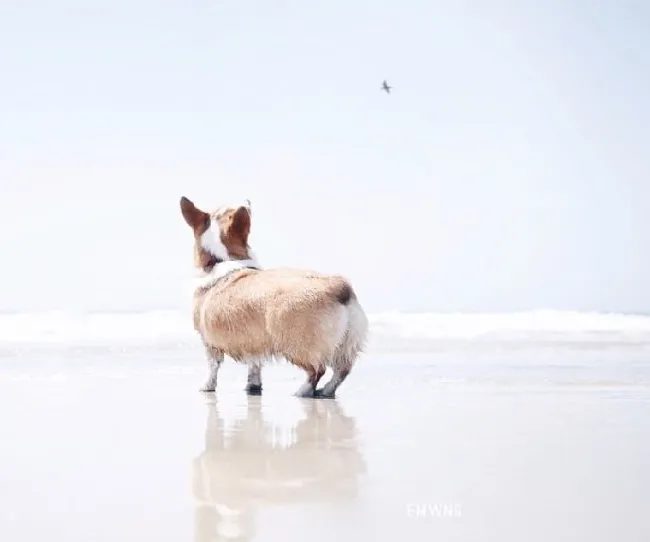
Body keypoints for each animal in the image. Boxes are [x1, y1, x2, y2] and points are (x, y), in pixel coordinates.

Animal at [180, 197, 368, 400]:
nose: (247, 200)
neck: (223, 259)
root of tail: (340, 287)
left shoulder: (208, 342)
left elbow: (212, 367)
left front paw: (207, 387)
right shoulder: (253, 343)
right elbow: (254, 367)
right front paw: (253, 387)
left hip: (297, 346)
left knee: (317, 370)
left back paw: (301, 391)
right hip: (346, 345)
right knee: (342, 370)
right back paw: (325, 391)